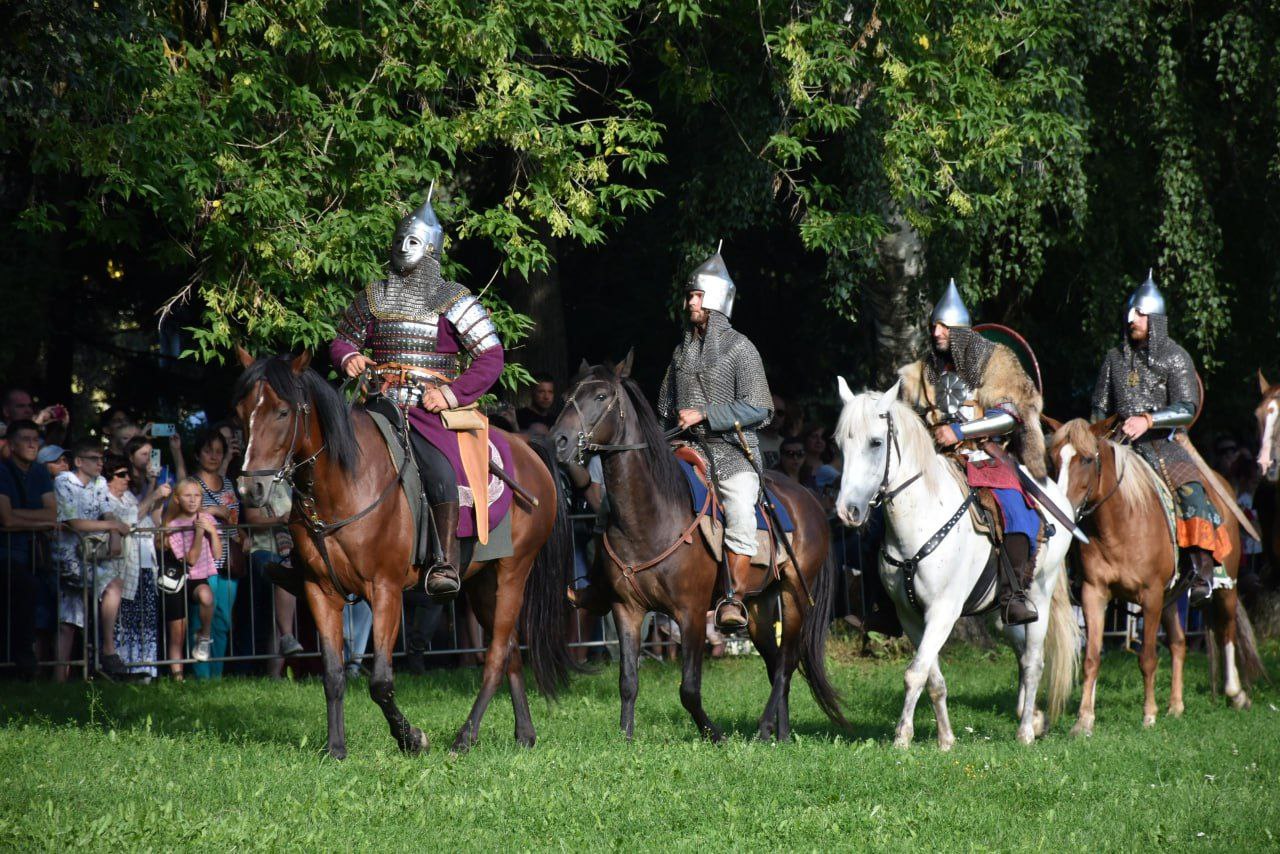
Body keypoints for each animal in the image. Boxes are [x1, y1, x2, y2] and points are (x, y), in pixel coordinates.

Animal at [232, 350, 573, 757]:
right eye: (241, 411)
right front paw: (336, 747)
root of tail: (527, 448)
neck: (348, 481)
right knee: (509, 651)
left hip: (513, 571)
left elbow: (380, 681)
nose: (251, 489)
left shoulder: (385, 589)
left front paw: (411, 738)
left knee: (495, 656)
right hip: (482, 581)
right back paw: (524, 734)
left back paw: (465, 736)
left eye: (283, 412)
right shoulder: (319, 591)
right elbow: (332, 674)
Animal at [545, 355, 844, 742]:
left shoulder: (691, 612)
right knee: (776, 661)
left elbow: (688, 689)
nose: (558, 441)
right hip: (759, 603)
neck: (651, 516)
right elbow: (628, 681)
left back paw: (764, 729)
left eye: (600, 396)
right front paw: (626, 738)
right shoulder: (626, 609)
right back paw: (780, 734)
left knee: (786, 663)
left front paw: (713, 734)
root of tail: (810, 501)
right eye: (567, 395)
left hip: (794, 596)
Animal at [834, 381, 1075, 747]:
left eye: (875, 442)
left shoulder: (942, 611)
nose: (848, 511)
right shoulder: (910, 616)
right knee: (1020, 653)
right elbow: (931, 678)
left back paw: (1024, 733)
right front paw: (946, 739)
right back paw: (1030, 717)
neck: (922, 516)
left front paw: (902, 737)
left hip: (1040, 597)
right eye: (840, 444)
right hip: (1003, 615)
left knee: (1034, 662)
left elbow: (915, 672)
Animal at [1049, 414, 1269, 737]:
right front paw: (1084, 720)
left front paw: (1148, 715)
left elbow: (1148, 658)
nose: (1059, 509)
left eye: (1087, 459)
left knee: (1226, 631)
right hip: (1171, 598)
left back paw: (1235, 693)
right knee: (1178, 643)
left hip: (1225, 585)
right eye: (1053, 460)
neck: (1120, 524)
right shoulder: (1094, 592)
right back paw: (1176, 706)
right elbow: (1092, 657)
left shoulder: (1150, 595)